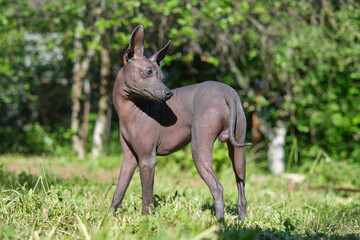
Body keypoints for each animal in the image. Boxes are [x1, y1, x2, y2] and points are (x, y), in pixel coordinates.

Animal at [111, 24, 252, 219]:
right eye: (149, 72)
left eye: (162, 77)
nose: (168, 93)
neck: (130, 111)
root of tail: (228, 93)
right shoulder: (129, 158)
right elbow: (119, 190)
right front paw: (108, 216)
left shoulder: (147, 159)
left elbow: (146, 197)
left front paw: (146, 220)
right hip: (238, 152)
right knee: (241, 187)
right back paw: (241, 221)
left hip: (199, 148)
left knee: (218, 188)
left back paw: (219, 222)